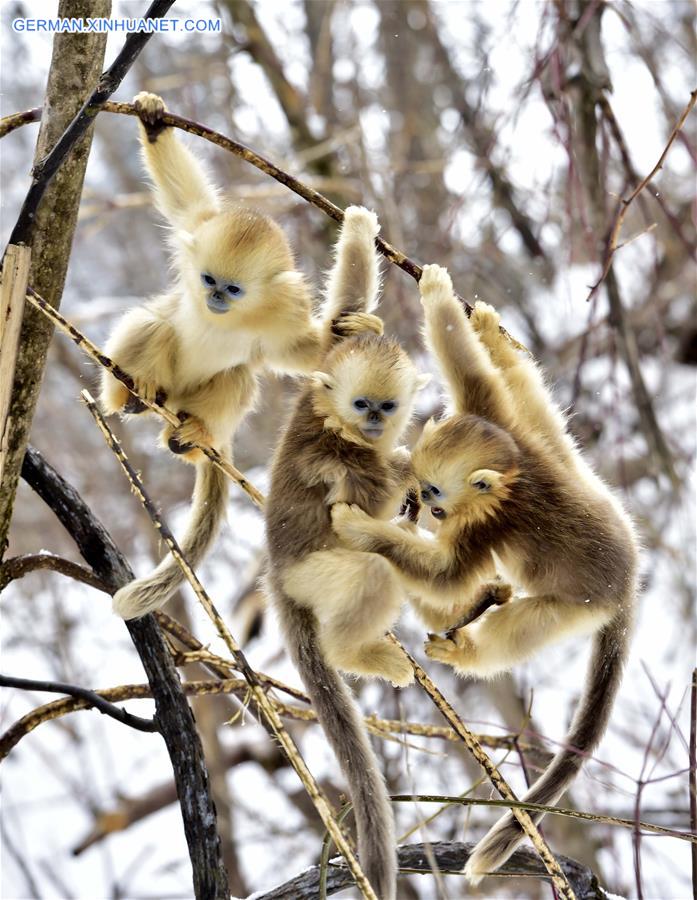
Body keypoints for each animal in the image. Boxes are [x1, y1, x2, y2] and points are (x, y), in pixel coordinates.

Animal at [101, 95, 378, 624]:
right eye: (209, 281)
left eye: (232, 289)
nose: (215, 299)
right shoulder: (196, 236)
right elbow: (188, 206)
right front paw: (153, 122)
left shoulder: (280, 316)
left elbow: (305, 352)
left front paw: (346, 329)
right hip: (151, 377)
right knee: (156, 325)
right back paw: (136, 395)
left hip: (198, 402)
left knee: (239, 377)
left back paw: (189, 437)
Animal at [330, 264, 636, 888]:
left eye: (436, 491)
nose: (423, 501)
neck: (512, 484)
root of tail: (629, 587)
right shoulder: (503, 425)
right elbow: (476, 374)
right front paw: (449, 302)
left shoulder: (481, 528)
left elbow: (446, 573)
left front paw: (361, 528)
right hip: (557, 453)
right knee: (534, 402)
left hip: (577, 606)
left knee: (520, 623)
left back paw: (463, 648)